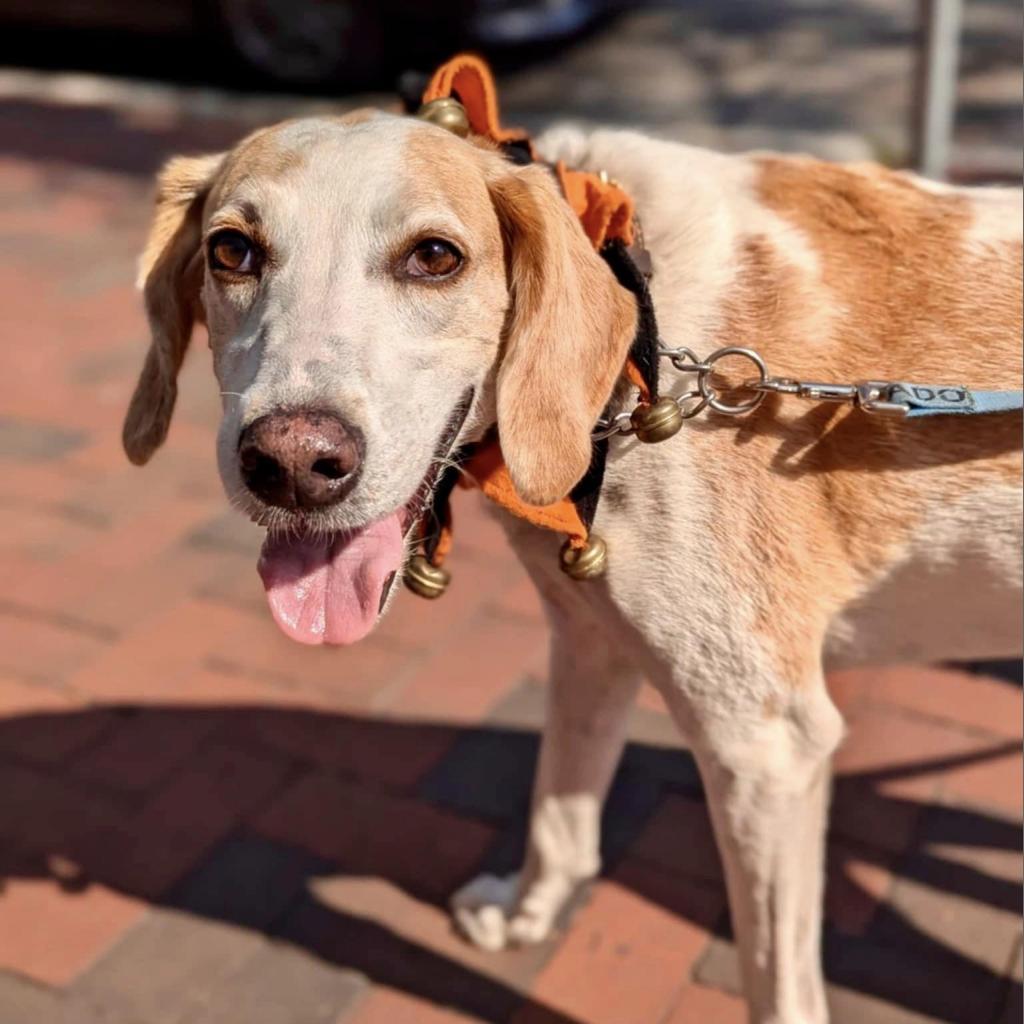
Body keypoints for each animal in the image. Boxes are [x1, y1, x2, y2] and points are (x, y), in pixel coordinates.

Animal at [123, 105, 1019, 1024]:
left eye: (434, 256)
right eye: (233, 251)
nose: (294, 465)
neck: (641, 358)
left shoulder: (766, 744)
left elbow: (778, 988)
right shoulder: (592, 642)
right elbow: (561, 810)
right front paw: (528, 916)